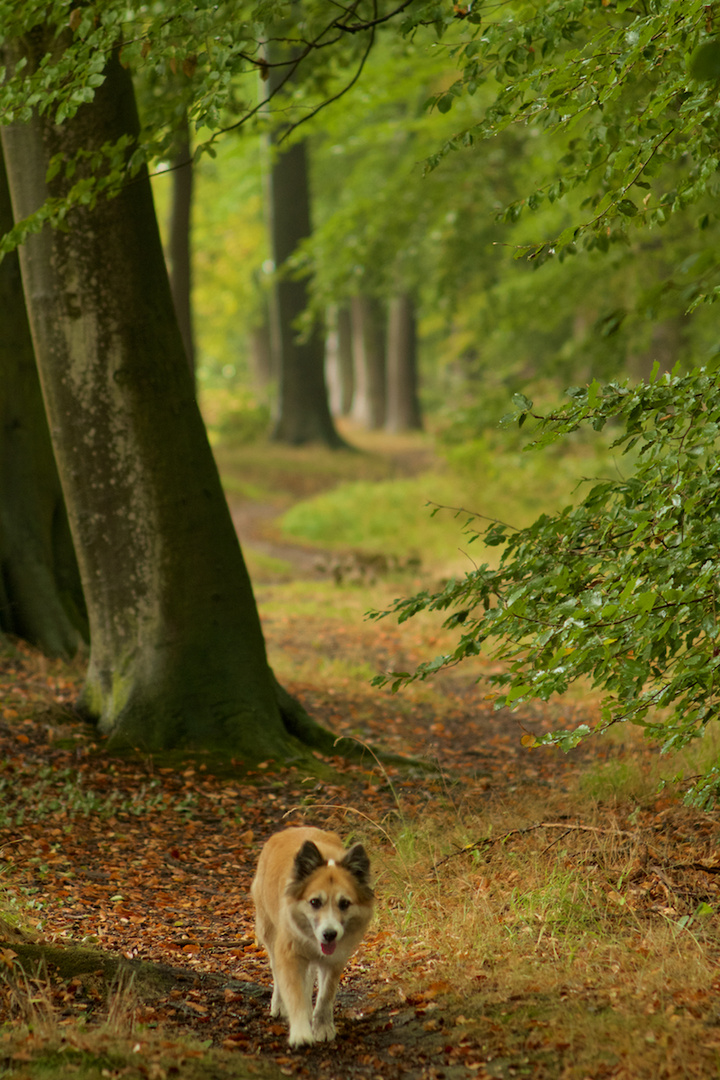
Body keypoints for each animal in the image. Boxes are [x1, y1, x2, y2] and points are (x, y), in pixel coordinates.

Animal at [250, 825, 375, 1045]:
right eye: (315, 902)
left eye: (344, 904)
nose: (329, 934)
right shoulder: (289, 954)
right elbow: (294, 993)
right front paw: (301, 1033)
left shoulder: (334, 960)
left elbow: (325, 996)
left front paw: (323, 1028)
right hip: (269, 932)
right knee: (277, 972)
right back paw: (279, 1005)